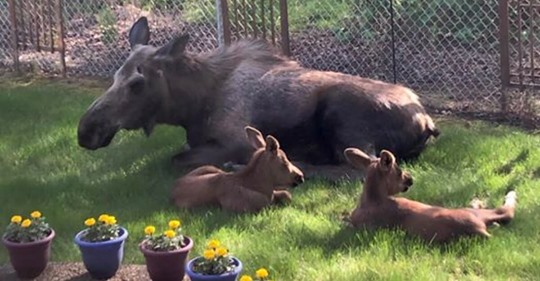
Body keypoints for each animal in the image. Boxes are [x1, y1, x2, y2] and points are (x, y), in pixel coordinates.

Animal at [76, 16, 438, 180]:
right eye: (114, 76)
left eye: (137, 83)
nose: (86, 130)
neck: (190, 108)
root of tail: (427, 121)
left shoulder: (234, 139)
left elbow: (176, 159)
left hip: (342, 117)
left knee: (357, 169)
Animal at [171, 126, 304, 211]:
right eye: (284, 162)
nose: (300, 177)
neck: (263, 187)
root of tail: (174, 187)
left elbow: (287, 195)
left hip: (211, 168)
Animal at [344, 148, 516, 242]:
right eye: (399, 171)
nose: (410, 179)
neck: (372, 199)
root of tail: (480, 230)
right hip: (472, 213)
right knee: (504, 211)